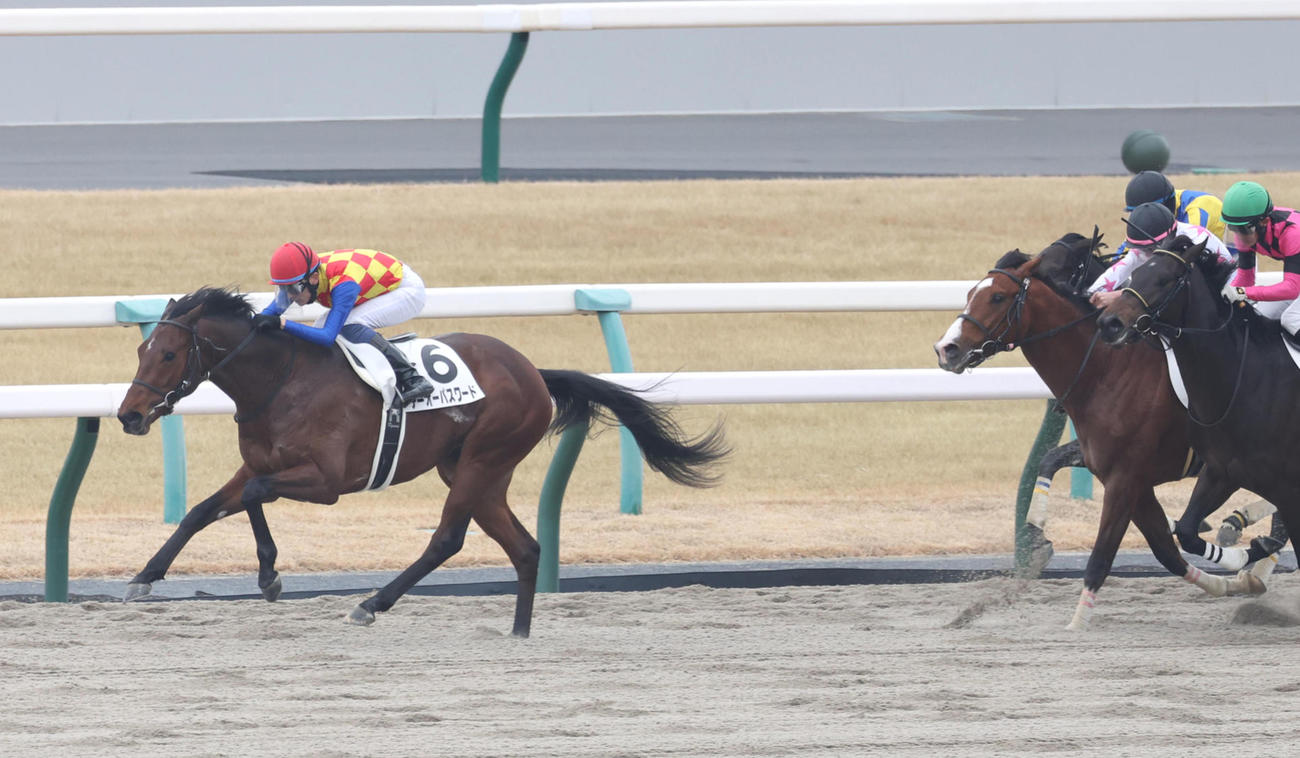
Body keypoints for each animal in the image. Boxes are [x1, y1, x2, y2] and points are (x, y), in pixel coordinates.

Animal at [115, 287, 729, 638]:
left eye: (168, 353)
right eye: (141, 349)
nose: (128, 415)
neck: (281, 381)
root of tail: (532, 371)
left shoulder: (326, 481)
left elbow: (251, 497)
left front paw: (268, 575)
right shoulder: (258, 463)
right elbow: (205, 509)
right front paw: (145, 577)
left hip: (483, 458)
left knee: (447, 539)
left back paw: (371, 604)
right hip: (476, 471)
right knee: (525, 547)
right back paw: (519, 633)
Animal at [933, 233, 1266, 629]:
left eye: (997, 296)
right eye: (970, 293)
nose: (946, 349)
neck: (1108, 370)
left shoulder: (1125, 479)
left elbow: (1103, 556)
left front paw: (1074, 626)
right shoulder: (1126, 478)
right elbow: (1166, 552)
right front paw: (1238, 580)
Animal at [1096, 236, 1296, 576]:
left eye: (1166, 279)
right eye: (1134, 275)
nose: (1109, 323)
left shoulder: (1287, 487)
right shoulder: (1221, 471)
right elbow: (1188, 532)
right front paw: (1246, 554)